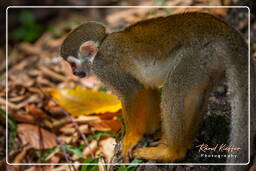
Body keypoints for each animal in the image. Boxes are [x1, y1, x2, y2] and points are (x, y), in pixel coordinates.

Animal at [60, 12, 248, 166]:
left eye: (72, 64)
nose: (74, 73)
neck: (100, 48)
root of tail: (220, 28)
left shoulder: (105, 68)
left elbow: (132, 92)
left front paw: (132, 137)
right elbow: (145, 87)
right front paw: (151, 130)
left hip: (197, 55)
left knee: (174, 90)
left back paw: (172, 152)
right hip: (209, 62)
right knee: (196, 93)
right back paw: (184, 141)